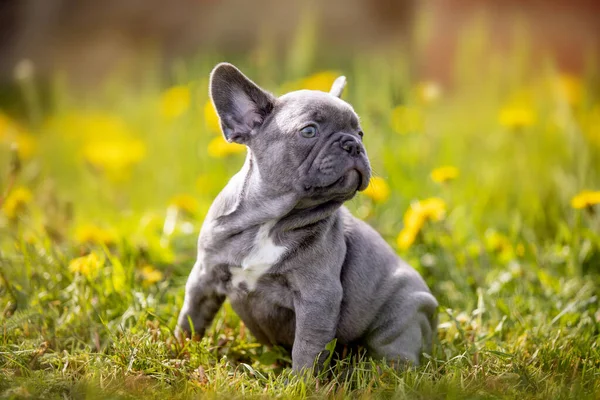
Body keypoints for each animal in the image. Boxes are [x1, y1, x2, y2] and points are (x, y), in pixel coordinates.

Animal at [176, 62, 438, 372]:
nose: (352, 144)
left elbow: (307, 347)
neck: (269, 220)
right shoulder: (205, 275)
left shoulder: (317, 299)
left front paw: (300, 380)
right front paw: (179, 350)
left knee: (396, 352)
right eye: (309, 131)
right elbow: (191, 317)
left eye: (360, 133)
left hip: (402, 319)